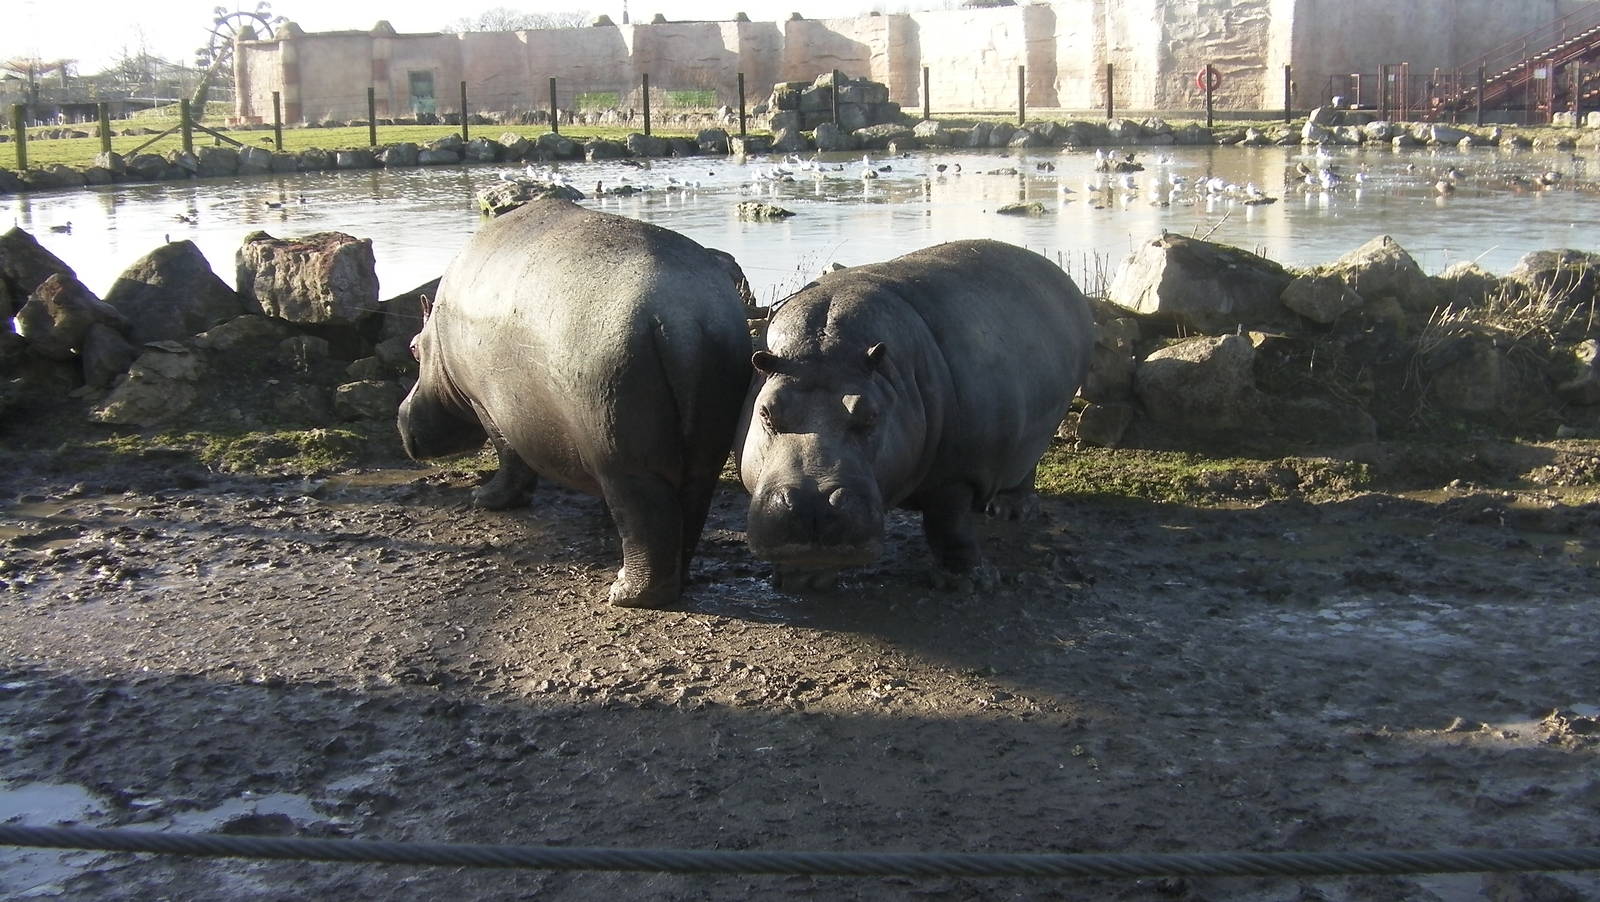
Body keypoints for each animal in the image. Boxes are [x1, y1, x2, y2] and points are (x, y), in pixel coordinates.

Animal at [398, 199, 752, 608]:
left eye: (412, 347)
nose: (400, 415)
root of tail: (683, 317)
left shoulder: (486, 406)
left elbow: (509, 457)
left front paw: (482, 497)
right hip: (699, 457)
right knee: (684, 512)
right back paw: (674, 578)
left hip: (623, 457)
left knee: (645, 517)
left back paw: (624, 592)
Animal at [735, 239, 1094, 587]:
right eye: (766, 412)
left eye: (870, 414)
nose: (812, 505)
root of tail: (1061, 277)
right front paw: (800, 578)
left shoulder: (956, 474)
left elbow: (948, 525)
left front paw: (968, 583)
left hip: (1044, 426)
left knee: (1026, 466)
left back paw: (1009, 511)